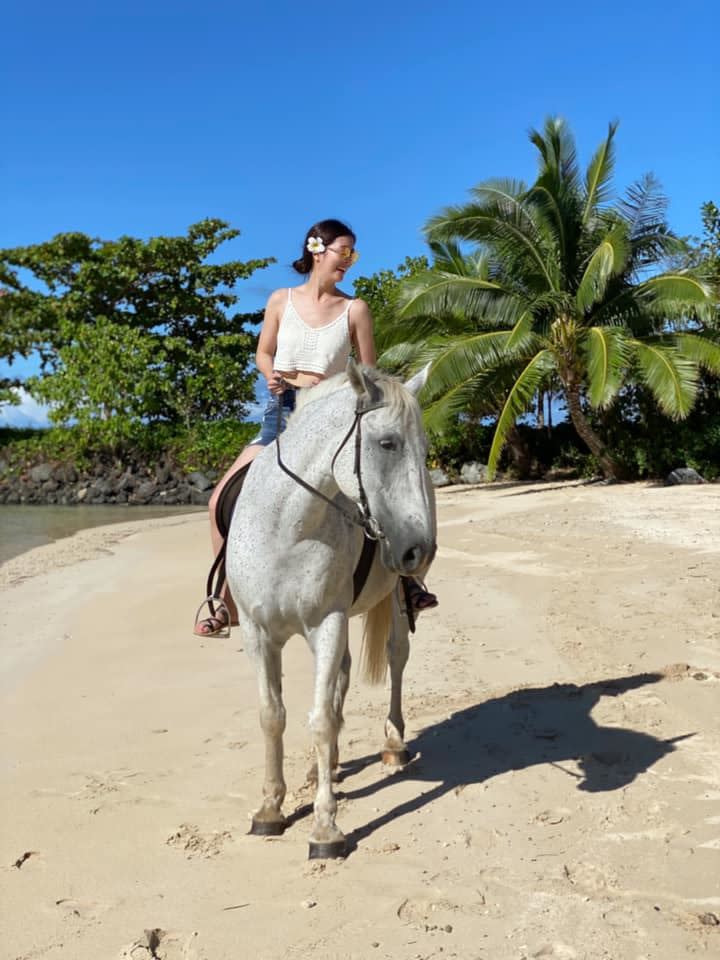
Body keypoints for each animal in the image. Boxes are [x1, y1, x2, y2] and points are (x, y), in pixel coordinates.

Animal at [228, 364, 436, 860]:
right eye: (387, 443)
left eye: (425, 452)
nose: (420, 550)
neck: (286, 528)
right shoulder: (256, 631)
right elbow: (273, 715)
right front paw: (270, 809)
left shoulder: (328, 624)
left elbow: (320, 719)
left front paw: (325, 828)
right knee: (341, 676)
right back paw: (330, 767)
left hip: (392, 602)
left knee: (396, 657)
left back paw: (393, 744)